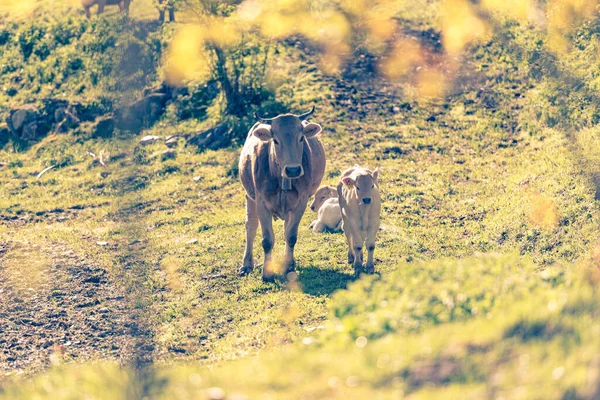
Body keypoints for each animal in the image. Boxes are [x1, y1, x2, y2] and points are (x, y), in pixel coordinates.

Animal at [238, 107, 326, 282]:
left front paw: (289, 266)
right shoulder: (261, 202)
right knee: (250, 226)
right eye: (275, 140)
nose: (293, 170)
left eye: (301, 138)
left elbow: (291, 236)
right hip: (249, 196)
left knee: (286, 229)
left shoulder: (301, 202)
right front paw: (266, 274)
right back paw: (247, 264)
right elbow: (267, 240)